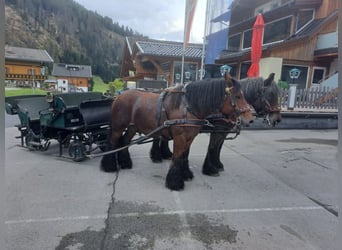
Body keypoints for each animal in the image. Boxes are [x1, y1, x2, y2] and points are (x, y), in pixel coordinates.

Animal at [100, 77, 255, 190]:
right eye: (238, 96)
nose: (250, 118)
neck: (187, 107)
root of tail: (119, 96)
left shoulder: (190, 137)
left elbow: (184, 156)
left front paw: (185, 174)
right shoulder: (180, 138)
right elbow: (177, 157)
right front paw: (175, 182)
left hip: (132, 127)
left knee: (125, 141)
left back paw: (125, 163)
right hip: (118, 127)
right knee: (113, 143)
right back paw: (109, 166)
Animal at [151, 73, 282, 176]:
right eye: (270, 95)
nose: (277, 119)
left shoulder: (223, 131)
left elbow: (219, 147)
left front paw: (217, 164)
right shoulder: (217, 129)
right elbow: (212, 147)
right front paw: (210, 169)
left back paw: (165, 154)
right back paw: (156, 156)